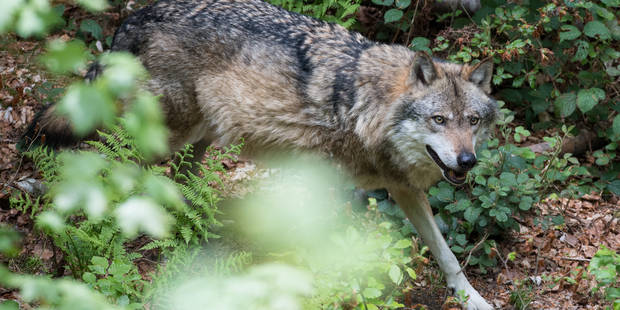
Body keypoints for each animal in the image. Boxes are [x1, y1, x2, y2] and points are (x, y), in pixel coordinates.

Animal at [21, 0, 498, 308]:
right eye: (439, 119)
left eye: (472, 121)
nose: (467, 162)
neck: (366, 108)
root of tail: (133, 17)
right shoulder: (321, 181)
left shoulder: (401, 188)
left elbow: (446, 253)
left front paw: (472, 299)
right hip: (165, 135)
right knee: (108, 166)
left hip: (203, 135)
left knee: (180, 179)